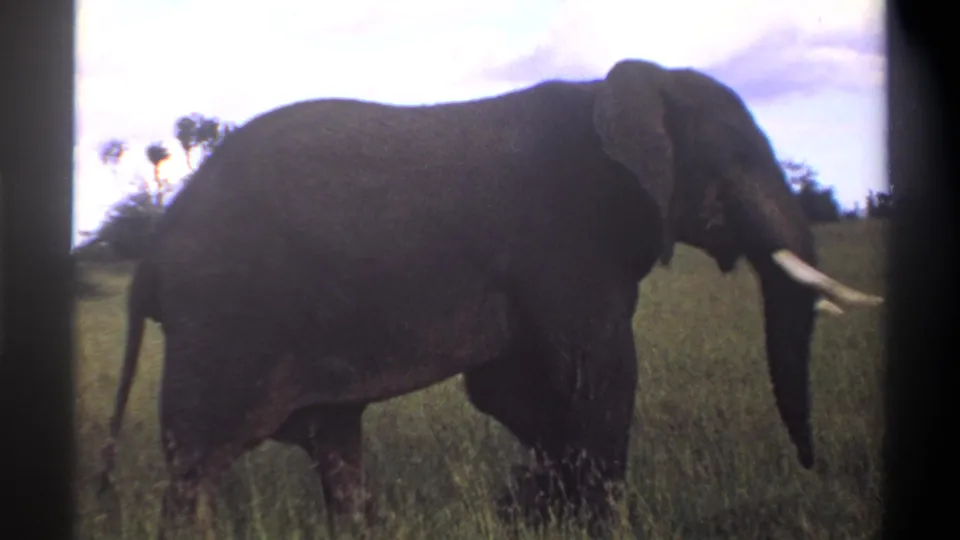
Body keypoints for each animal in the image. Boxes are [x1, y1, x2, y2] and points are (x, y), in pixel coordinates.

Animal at [96, 58, 884, 538]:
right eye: (742, 159)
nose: (811, 467)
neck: (623, 88)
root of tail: (152, 257)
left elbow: (517, 394)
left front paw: (533, 510)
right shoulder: (567, 240)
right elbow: (597, 379)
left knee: (334, 444)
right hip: (224, 328)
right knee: (197, 468)